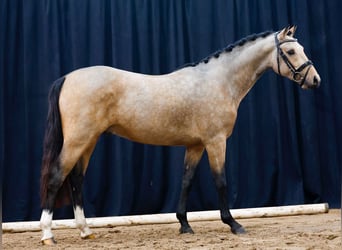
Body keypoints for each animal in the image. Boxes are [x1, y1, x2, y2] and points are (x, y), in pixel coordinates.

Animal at [39, 26, 320, 245]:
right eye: (291, 51)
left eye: (301, 48)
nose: (315, 80)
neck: (219, 81)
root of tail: (67, 78)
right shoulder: (216, 142)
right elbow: (221, 181)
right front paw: (233, 224)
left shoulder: (195, 145)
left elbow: (186, 181)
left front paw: (185, 225)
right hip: (78, 140)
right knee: (56, 177)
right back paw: (47, 235)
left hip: (89, 141)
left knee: (76, 180)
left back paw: (86, 231)